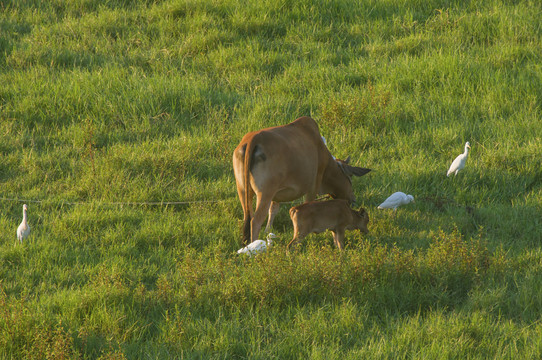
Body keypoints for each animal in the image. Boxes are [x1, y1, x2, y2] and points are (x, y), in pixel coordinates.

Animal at [232, 116, 372, 243]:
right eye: (350, 178)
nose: (353, 199)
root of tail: (254, 138)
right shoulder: (313, 186)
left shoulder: (277, 192)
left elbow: (273, 209)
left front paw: (268, 230)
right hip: (265, 192)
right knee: (255, 221)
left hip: (243, 189)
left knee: (247, 216)